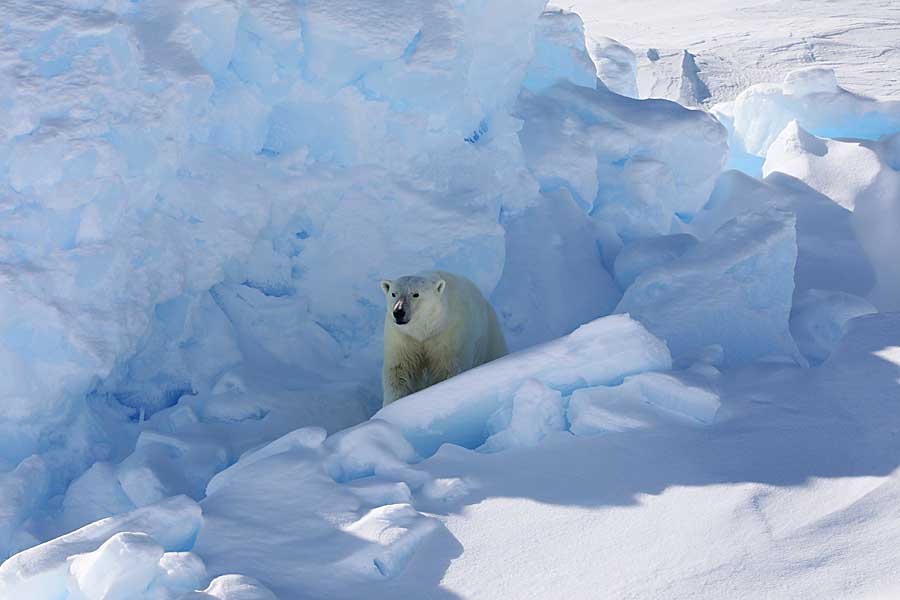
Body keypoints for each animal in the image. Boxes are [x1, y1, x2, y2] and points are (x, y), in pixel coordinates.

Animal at [378, 274, 506, 408]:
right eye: (393, 294)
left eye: (415, 294)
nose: (399, 312)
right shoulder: (403, 338)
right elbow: (400, 371)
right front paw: (392, 404)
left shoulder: (448, 335)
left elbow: (447, 370)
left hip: (490, 339)